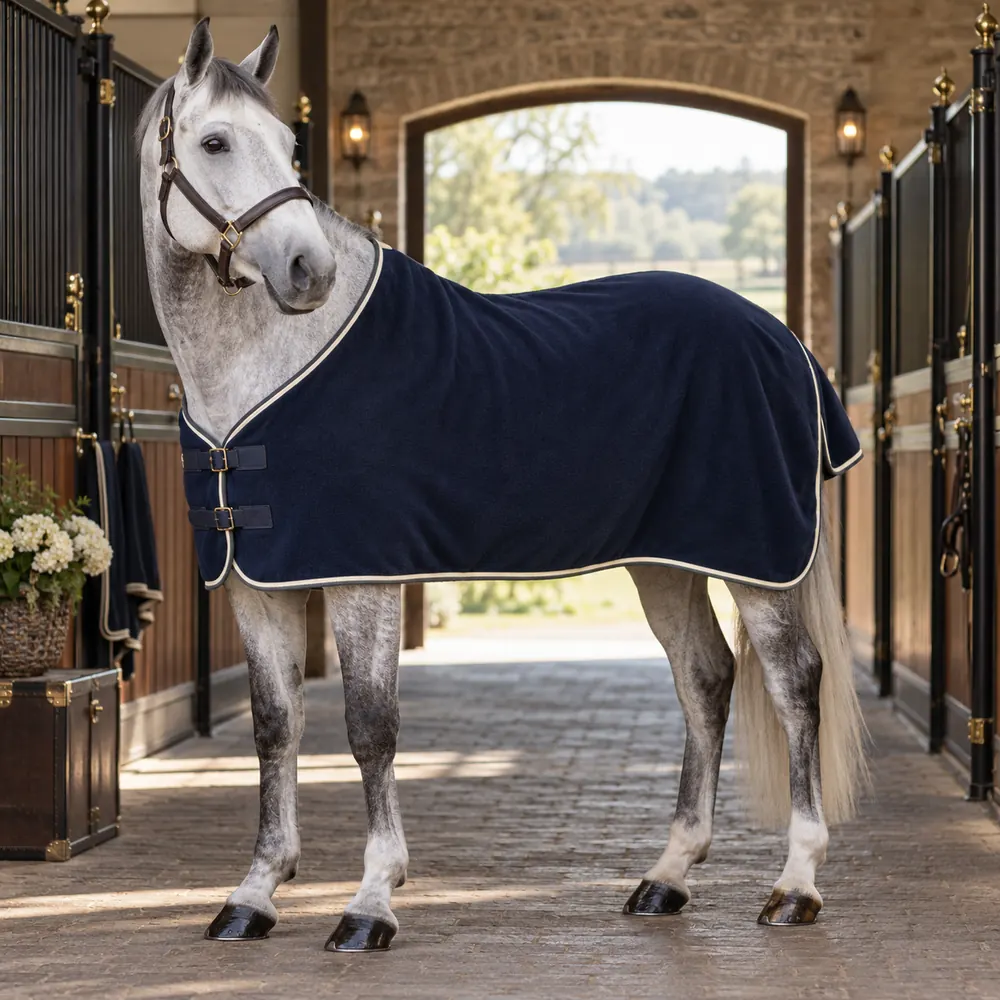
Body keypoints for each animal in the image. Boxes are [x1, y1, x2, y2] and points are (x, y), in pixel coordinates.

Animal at [137, 18, 867, 952]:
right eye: (217, 142)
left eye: (291, 147)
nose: (307, 270)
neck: (265, 369)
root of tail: (783, 343)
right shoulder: (255, 581)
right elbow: (275, 726)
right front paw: (254, 895)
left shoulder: (361, 575)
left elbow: (369, 727)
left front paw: (370, 903)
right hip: (664, 562)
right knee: (705, 680)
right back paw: (666, 877)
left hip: (756, 558)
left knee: (794, 683)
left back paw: (795, 884)